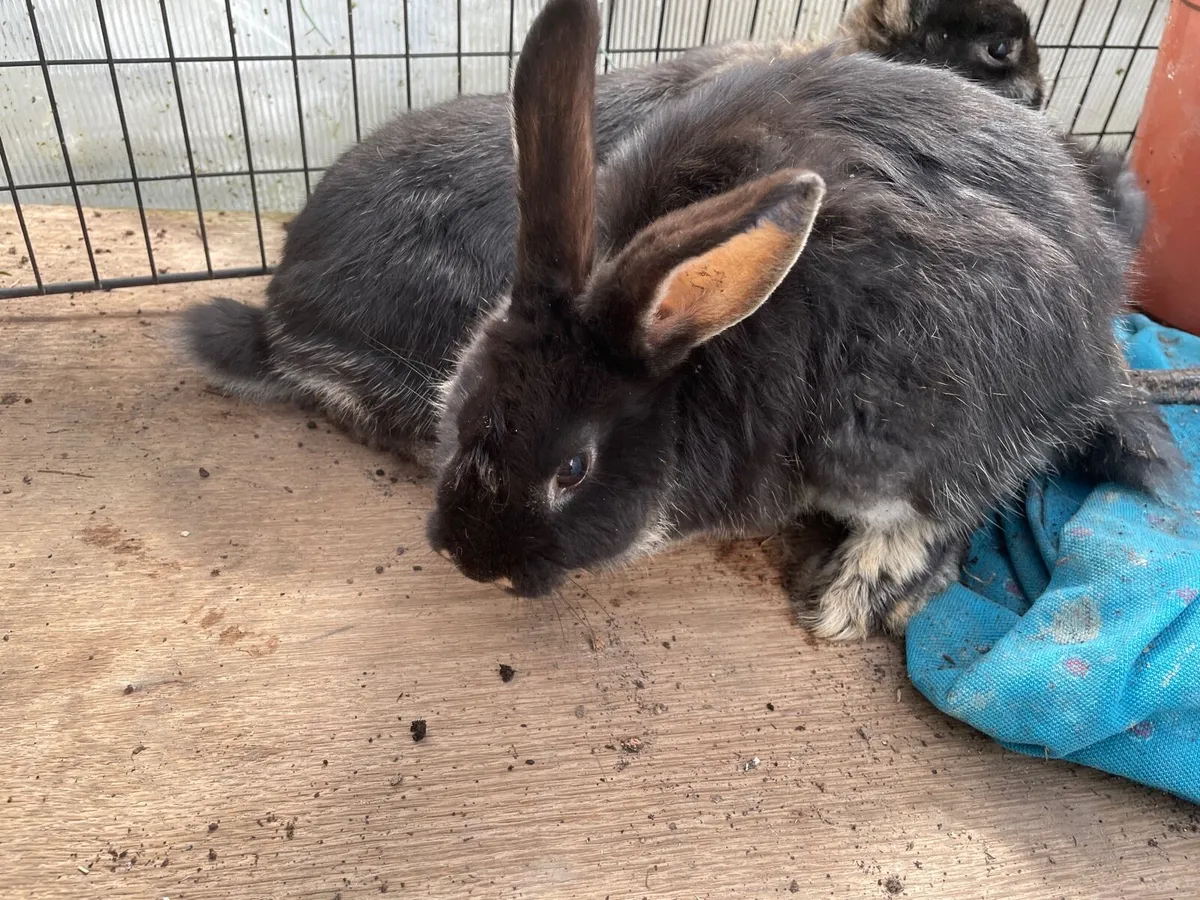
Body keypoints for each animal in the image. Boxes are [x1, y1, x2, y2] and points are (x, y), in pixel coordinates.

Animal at [424, 0, 1178, 642]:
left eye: (573, 469)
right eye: (463, 408)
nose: (473, 559)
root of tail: (1100, 331)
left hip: (902, 438)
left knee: (956, 512)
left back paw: (853, 596)